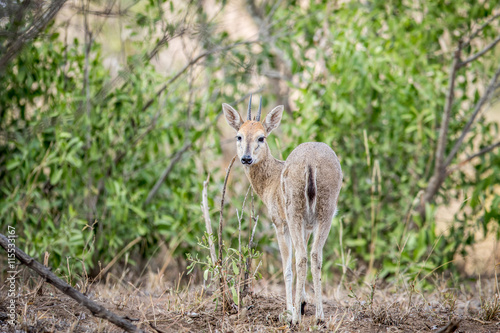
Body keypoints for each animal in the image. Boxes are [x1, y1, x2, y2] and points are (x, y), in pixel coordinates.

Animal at [224, 95, 344, 322]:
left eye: (261, 138)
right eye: (239, 136)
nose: (246, 158)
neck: (270, 183)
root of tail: (310, 164)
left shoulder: (279, 223)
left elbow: (287, 267)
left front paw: (291, 309)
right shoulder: (307, 226)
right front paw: (303, 302)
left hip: (294, 209)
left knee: (302, 258)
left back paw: (295, 318)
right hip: (326, 210)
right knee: (315, 255)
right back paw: (320, 315)